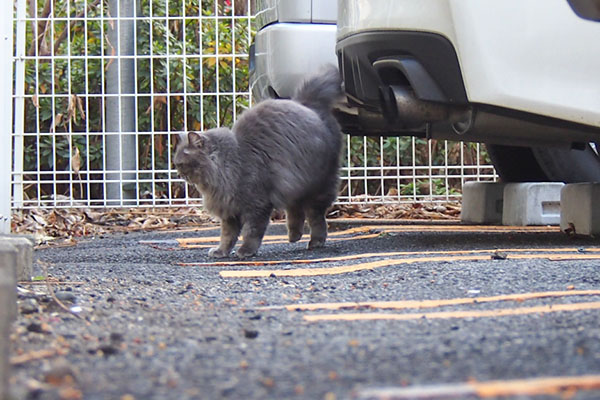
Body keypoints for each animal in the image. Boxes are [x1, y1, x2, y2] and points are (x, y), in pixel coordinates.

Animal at [173, 65, 342, 260]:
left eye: (181, 164)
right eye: (176, 164)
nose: (178, 174)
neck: (231, 163)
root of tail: (307, 104)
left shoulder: (257, 206)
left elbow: (251, 232)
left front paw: (245, 251)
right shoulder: (230, 212)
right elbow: (227, 236)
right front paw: (221, 252)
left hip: (317, 186)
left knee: (316, 217)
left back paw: (315, 242)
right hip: (294, 184)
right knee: (295, 210)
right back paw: (293, 236)